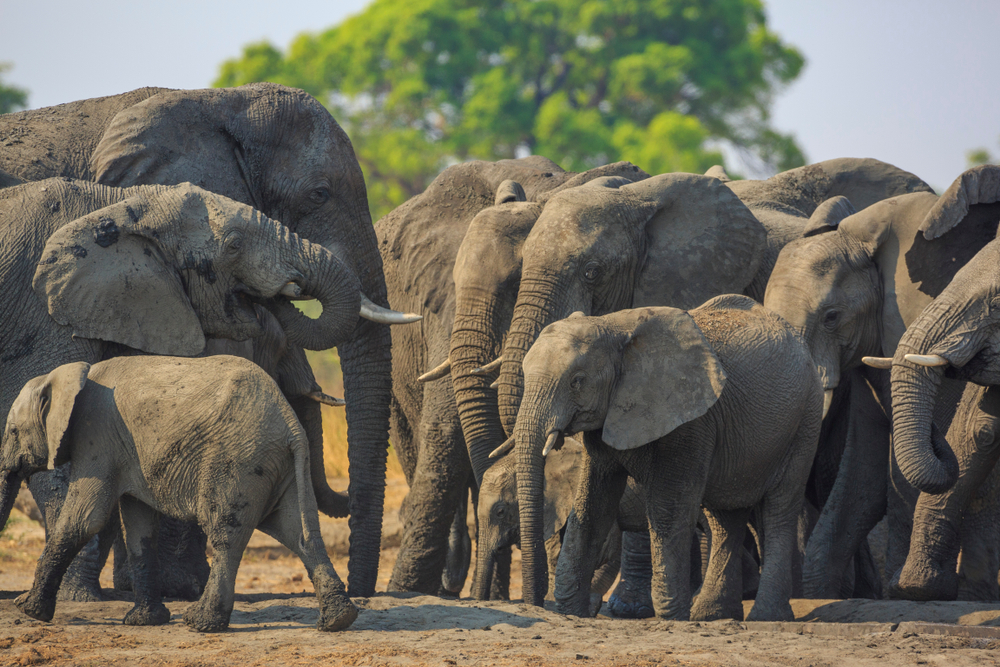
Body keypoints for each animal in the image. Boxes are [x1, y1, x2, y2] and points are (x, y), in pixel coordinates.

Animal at [0, 83, 394, 596]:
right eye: (319, 194)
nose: (364, 593)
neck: (216, 100)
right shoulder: (41, 301)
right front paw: (119, 594)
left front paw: (166, 589)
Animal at [0, 354, 360, 632]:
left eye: (13, 431)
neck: (69, 376)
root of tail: (291, 423)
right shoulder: (126, 451)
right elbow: (139, 527)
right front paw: (145, 621)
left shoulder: (97, 440)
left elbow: (85, 519)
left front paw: (28, 609)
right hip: (278, 464)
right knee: (299, 533)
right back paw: (338, 620)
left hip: (237, 460)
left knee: (226, 535)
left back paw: (200, 623)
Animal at [512, 298, 824, 620]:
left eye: (577, 381)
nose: (535, 604)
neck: (614, 326)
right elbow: (592, 507)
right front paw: (572, 612)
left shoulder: (691, 419)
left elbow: (668, 510)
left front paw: (672, 616)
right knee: (725, 518)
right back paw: (710, 615)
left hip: (805, 419)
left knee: (779, 510)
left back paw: (765, 616)